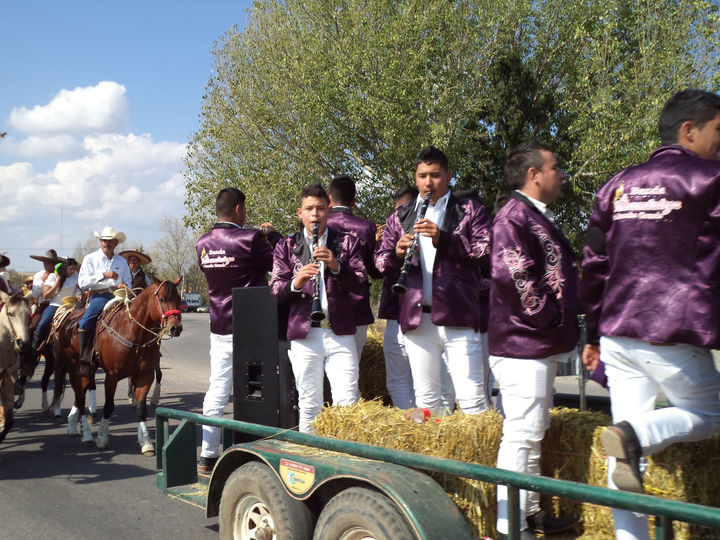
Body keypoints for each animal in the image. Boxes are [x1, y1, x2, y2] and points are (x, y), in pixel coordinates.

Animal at [49, 279, 183, 454]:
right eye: (161, 299)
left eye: (179, 300)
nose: (176, 328)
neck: (134, 333)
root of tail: (67, 318)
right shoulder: (111, 376)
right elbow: (108, 406)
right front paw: (103, 439)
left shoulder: (145, 375)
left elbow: (141, 409)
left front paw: (146, 442)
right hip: (75, 368)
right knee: (80, 396)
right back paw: (86, 434)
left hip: (89, 369)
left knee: (81, 394)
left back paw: (72, 425)